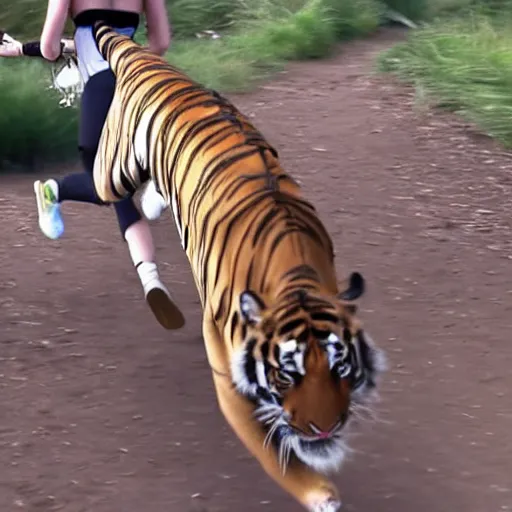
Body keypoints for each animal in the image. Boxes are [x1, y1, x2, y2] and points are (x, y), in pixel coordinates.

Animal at [90, 21, 386, 512]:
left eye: (340, 367)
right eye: (288, 373)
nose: (325, 429)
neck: (298, 277)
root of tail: (148, 61)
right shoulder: (229, 371)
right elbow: (275, 453)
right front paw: (320, 493)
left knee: (150, 193)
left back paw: (154, 202)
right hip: (111, 170)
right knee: (101, 178)